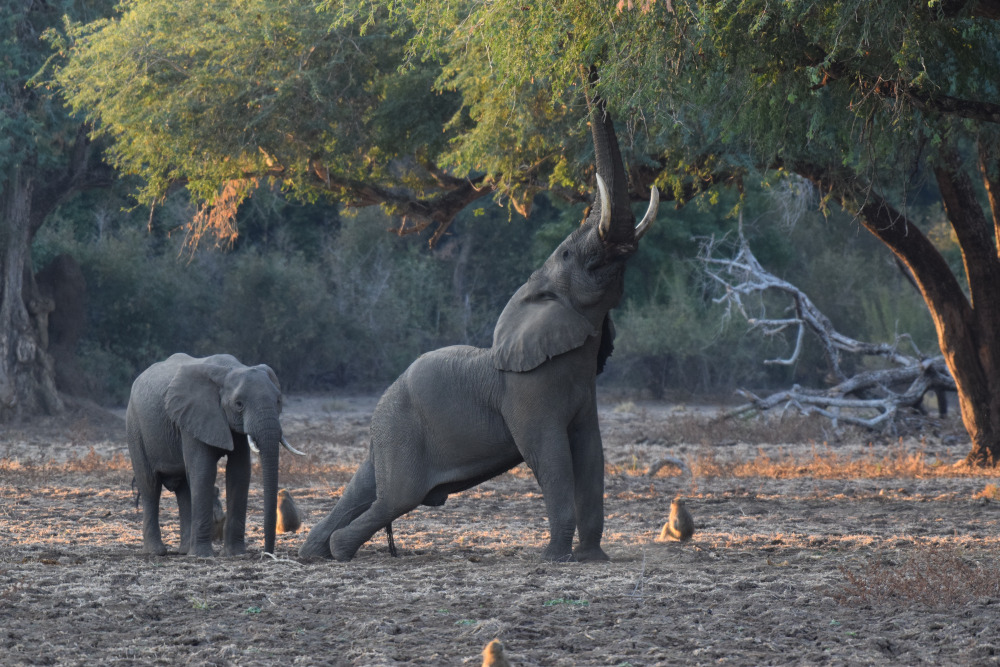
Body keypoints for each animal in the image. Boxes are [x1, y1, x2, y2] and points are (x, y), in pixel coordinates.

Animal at [127, 354, 302, 560]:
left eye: (278, 401)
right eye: (239, 404)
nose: (267, 554)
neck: (229, 370)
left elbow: (239, 472)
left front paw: (234, 554)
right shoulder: (194, 416)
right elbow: (204, 471)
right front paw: (203, 556)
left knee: (183, 489)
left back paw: (185, 550)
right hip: (135, 428)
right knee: (150, 485)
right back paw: (157, 552)